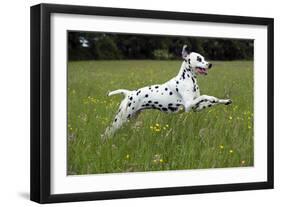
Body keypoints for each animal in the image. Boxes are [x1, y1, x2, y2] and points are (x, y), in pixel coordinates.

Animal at [101, 45, 231, 139]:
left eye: (203, 58)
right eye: (199, 59)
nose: (210, 64)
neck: (189, 79)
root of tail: (128, 93)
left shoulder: (196, 107)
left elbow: (212, 101)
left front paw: (224, 100)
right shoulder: (189, 105)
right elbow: (206, 96)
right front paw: (214, 98)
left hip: (131, 118)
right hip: (121, 119)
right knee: (107, 131)